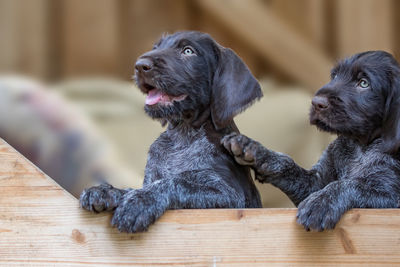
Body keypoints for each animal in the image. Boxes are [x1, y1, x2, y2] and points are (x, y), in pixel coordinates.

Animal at [80, 30, 264, 232]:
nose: (140, 66)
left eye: (188, 51)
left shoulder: (230, 195)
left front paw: (139, 202)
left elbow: (177, 181)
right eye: (156, 47)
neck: (183, 134)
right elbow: (137, 187)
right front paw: (107, 191)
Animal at [223, 50, 400, 232]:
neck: (360, 145)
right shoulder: (315, 182)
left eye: (364, 83)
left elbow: (349, 185)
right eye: (335, 76)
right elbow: (288, 165)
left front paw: (321, 203)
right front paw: (255, 149)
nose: (316, 102)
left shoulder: (390, 196)